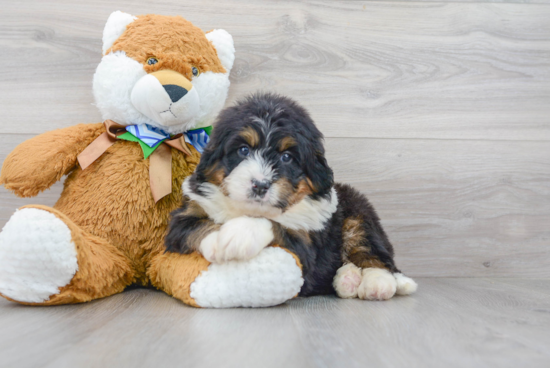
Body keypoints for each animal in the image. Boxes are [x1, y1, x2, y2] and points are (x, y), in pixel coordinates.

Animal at [165, 93, 418, 300]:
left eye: (287, 157)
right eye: (243, 150)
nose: (260, 185)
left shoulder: (307, 244)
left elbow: (275, 223)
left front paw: (237, 236)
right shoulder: (186, 215)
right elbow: (197, 226)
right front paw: (218, 242)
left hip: (359, 214)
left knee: (373, 253)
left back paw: (379, 283)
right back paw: (347, 279)